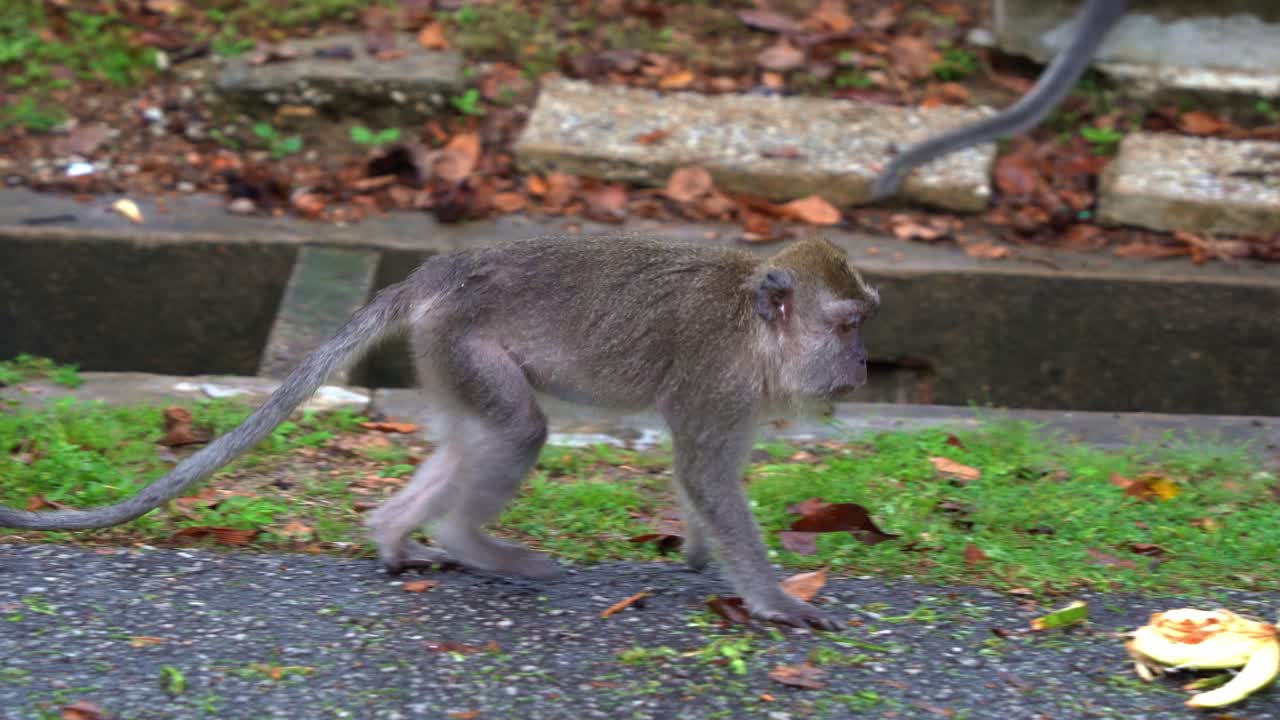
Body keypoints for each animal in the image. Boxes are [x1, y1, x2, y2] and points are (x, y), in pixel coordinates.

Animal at [0, 235, 879, 630]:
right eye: (846, 327)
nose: (865, 366)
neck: (750, 327)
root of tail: (443, 270)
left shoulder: (736, 398)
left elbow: (703, 480)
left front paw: (699, 553)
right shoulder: (716, 383)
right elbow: (705, 475)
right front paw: (775, 599)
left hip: (442, 352)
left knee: (473, 438)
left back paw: (395, 534)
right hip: (463, 340)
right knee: (517, 430)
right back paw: (465, 539)